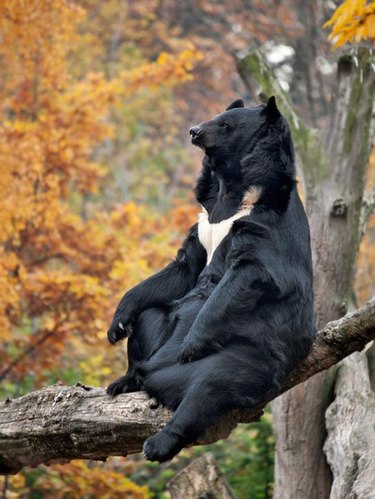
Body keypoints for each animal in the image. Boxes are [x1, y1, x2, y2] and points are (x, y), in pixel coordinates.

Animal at [107, 97, 316, 464]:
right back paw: (125, 380)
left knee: (210, 385)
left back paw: (157, 443)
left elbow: (248, 272)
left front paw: (191, 345)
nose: (194, 130)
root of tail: (155, 377)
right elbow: (182, 267)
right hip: (160, 333)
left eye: (224, 125)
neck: (230, 191)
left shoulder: (264, 223)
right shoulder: (204, 225)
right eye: (214, 117)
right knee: (147, 319)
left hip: (253, 354)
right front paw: (116, 325)